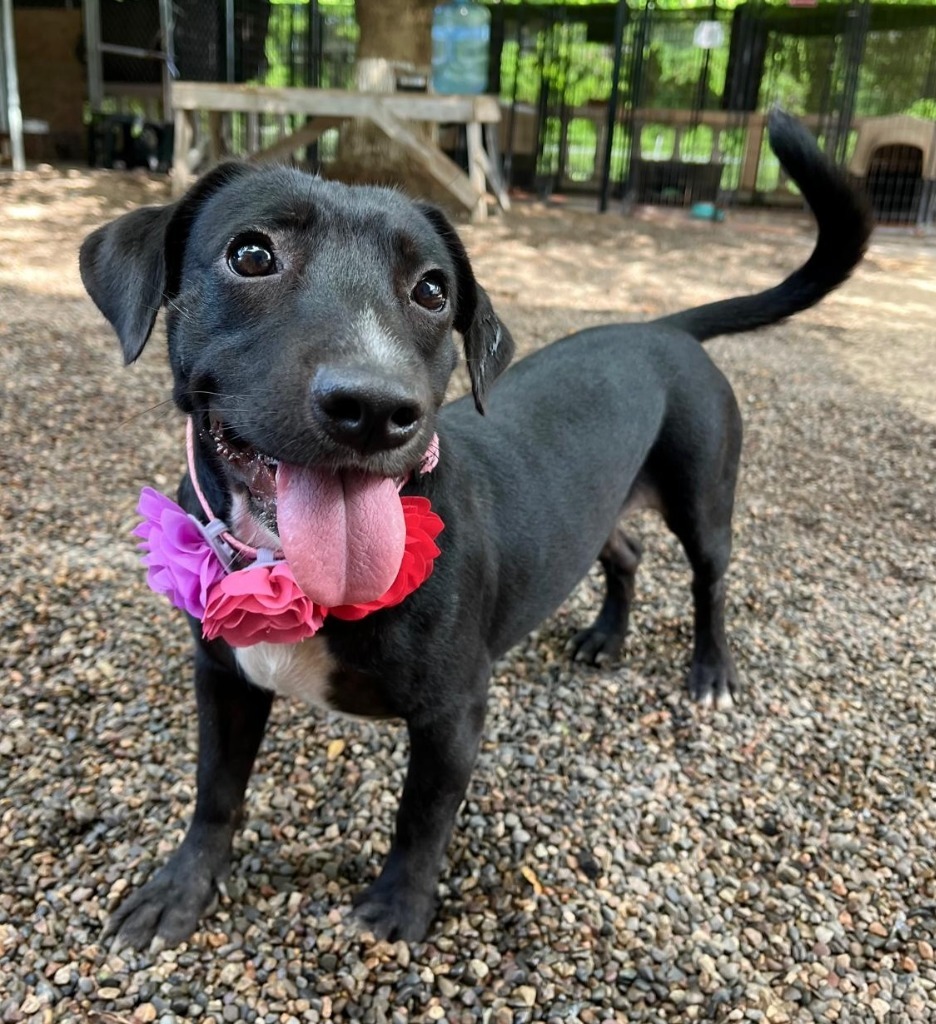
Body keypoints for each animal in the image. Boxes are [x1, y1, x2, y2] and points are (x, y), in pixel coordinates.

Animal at [78, 110, 868, 942]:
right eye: (251, 254)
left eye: (433, 290)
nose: (375, 406)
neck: (286, 567)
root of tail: (663, 327)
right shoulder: (222, 678)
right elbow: (216, 792)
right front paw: (181, 889)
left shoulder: (453, 714)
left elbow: (422, 817)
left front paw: (399, 906)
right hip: (600, 507)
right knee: (625, 549)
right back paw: (604, 636)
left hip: (704, 497)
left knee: (709, 581)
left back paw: (712, 672)